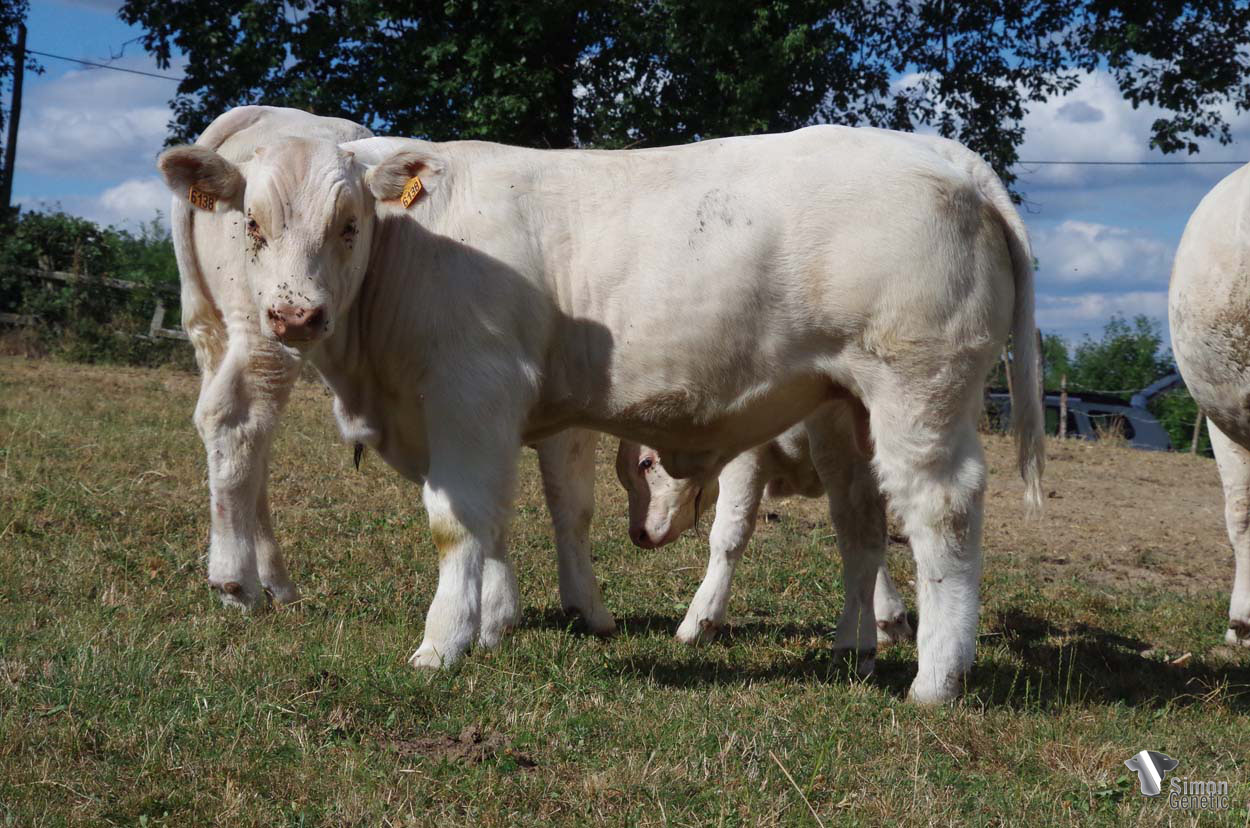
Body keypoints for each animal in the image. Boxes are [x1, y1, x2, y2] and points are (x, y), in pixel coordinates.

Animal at [165, 106, 615, 636]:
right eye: (253, 223)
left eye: (350, 225)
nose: (299, 315)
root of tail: (263, 112)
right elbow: (567, 501)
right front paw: (584, 607)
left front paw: (497, 610)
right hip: (264, 329)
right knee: (235, 420)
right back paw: (237, 580)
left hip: (229, 331)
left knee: (248, 442)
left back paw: (276, 582)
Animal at [616, 407, 914, 648]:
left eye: (646, 462)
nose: (638, 534)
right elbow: (868, 535)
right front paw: (886, 618)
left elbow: (729, 534)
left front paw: (702, 619)